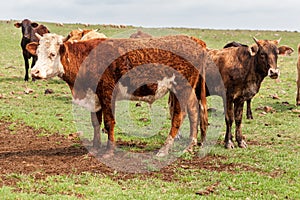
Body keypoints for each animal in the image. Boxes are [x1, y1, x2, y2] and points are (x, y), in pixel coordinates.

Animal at [26, 33, 209, 158]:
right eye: (38, 53)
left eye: (52, 54)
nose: (34, 72)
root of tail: (195, 40)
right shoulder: (94, 97)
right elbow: (95, 122)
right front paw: (95, 147)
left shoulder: (107, 94)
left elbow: (108, 122)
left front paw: (109, 151)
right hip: (188, 90)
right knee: (194, 111)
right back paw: (189, 145)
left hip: (181, 89)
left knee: (179, 116)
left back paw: (164, 150)